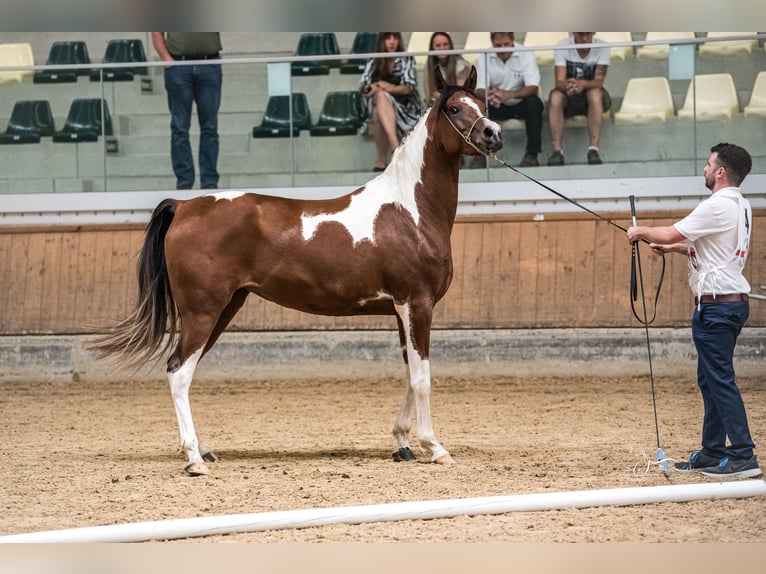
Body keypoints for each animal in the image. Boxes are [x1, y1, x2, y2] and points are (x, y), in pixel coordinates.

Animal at [88, 66, 504, 476]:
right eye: (453, 108)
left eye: (481, 104)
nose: (493, 134)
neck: (408, 211)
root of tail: (184, 206)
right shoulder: (417, 304)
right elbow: (421, 377)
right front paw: (434, 447)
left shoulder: (403, 309)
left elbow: (408, 370)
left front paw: (402, 443)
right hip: (203, 311)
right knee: (178, 372)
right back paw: (194, 459)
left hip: (223, 309)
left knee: (184, 371)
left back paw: (203, 450)